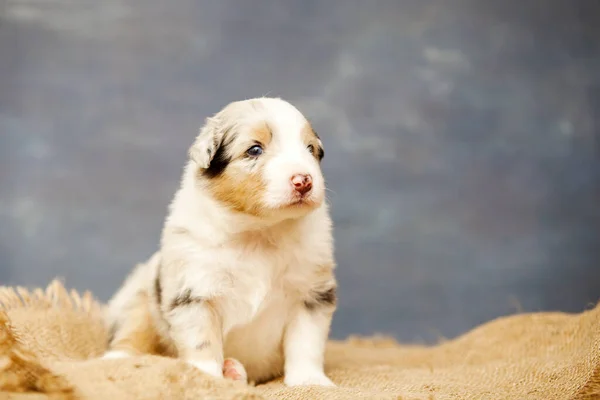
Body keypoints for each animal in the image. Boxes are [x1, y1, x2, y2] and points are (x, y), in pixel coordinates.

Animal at [103, 97, 338, 388]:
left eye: (310, 149)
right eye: (255, 150)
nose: (304, 181)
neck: (258, 232)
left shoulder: (312, 293)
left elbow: (306, 342)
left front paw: (309, 382)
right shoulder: (194, 293)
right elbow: (202, 342)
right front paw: (206, 377)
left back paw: (235, 371)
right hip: (138, 298)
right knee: (131, 333)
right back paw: (117, 359)